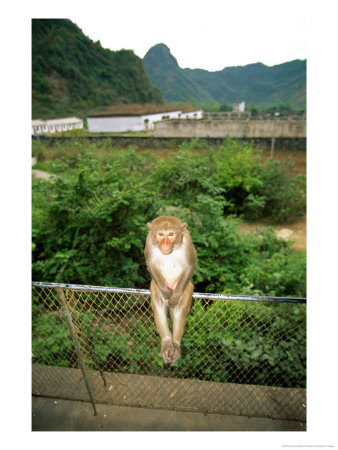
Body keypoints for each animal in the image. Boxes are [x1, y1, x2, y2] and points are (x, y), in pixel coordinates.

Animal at [144, 215, 197, 366]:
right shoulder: (149, 240)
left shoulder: (187, 240)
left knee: (179, 309)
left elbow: (189, 265)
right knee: (158, 305)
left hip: (187, 288)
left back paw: (175, 344)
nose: (165, 244)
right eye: (161, 234)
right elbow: (151, 263)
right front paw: (167, 293)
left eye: (171, 234)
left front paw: (174, 297)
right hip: (155, 286)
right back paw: (167, 343)